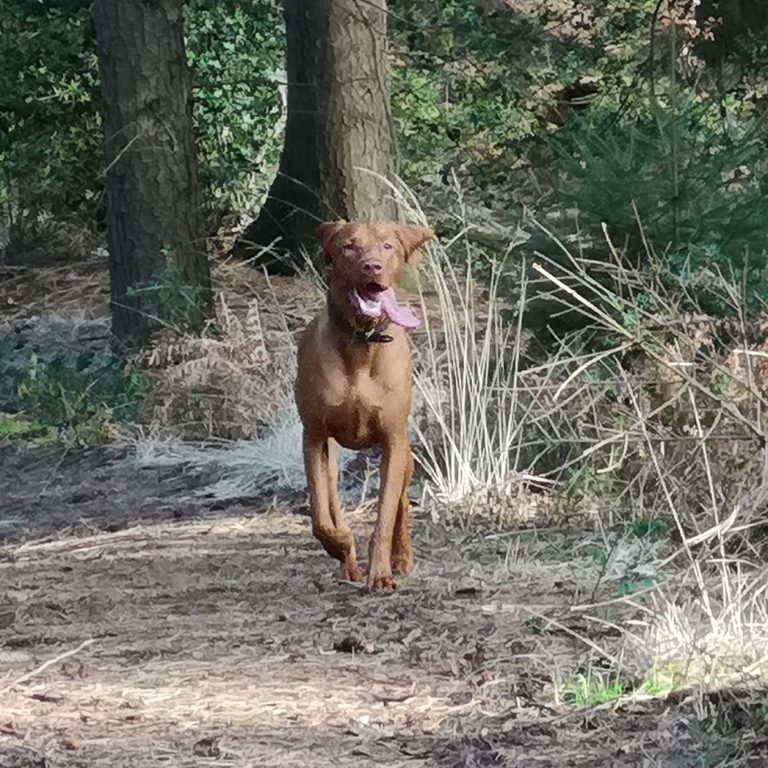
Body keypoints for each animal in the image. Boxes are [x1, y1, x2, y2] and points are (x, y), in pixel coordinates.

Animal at [296, 219, 432, 592]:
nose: (373, 266)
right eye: (349, 246)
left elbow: (385, 514)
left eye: (387, 246)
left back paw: (402, 557)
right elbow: (320, 515)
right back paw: (348, 561)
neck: (362, 343)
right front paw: (340, 545)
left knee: (401, 502)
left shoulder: (394, 440)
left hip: (406, 456)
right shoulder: (313, 436)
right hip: (330, 455)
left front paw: (382, 573)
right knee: (331, 499)